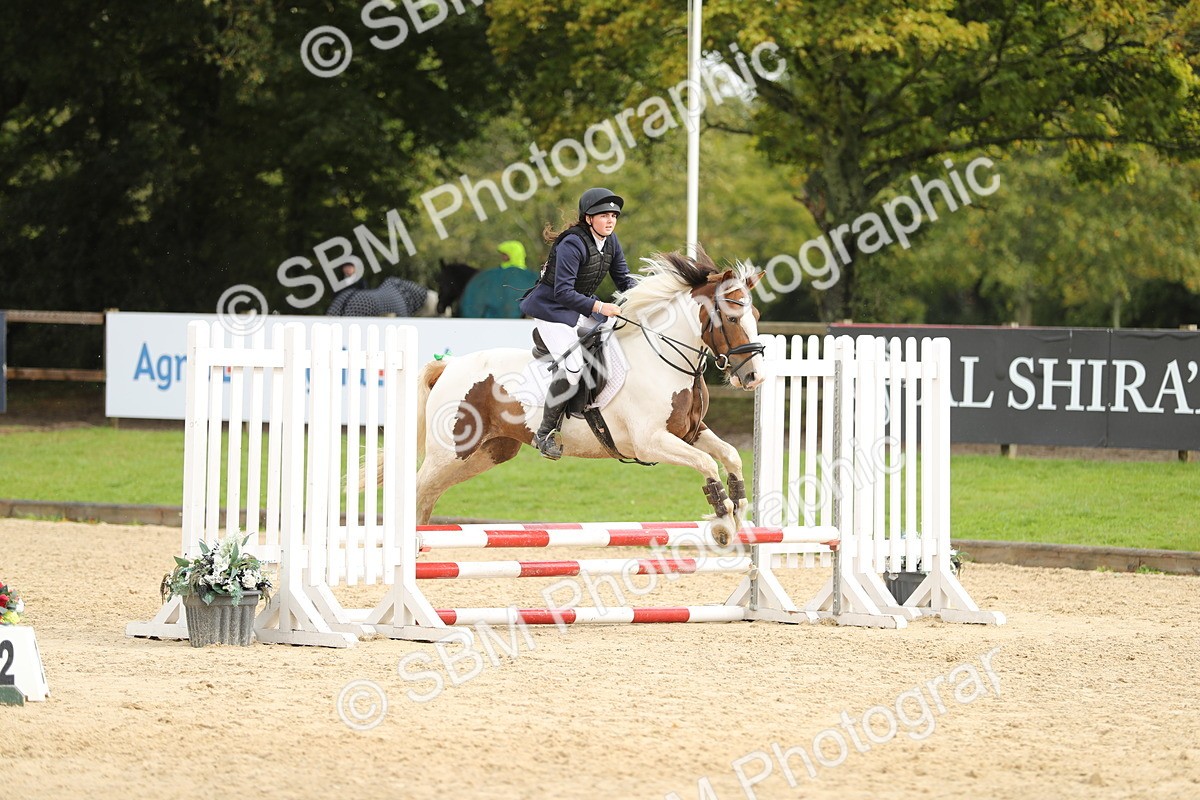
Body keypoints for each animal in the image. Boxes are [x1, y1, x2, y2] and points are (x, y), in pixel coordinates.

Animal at [411, 248, 766, 543]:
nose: (754, 377)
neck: (664, 359)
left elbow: (729, 454)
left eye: (757, 317)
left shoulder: (690, 433)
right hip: (450, 452)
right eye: (732, 318)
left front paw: (738, 510)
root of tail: (450, 365)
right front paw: (722, 522)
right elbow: (706, 463)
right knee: (417, 489)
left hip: (486, 452)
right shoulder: (650, 442)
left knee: (428, 496)